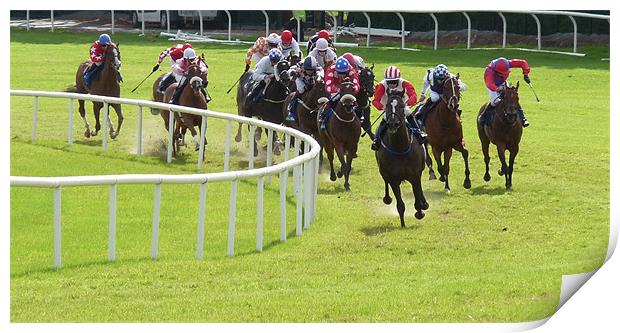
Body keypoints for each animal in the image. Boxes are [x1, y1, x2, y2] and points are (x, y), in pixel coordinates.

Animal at [376, 89, 428, 226]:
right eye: (387, 105)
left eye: (401, 105)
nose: (393, 123)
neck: (400, 148)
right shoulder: (393, 179)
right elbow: (400, 204)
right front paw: (403, 224)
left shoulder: (414, 175)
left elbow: (417, 197)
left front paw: (420, 212)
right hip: (383, 171)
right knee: (385, 182)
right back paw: (387, 198)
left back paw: (424, 203)